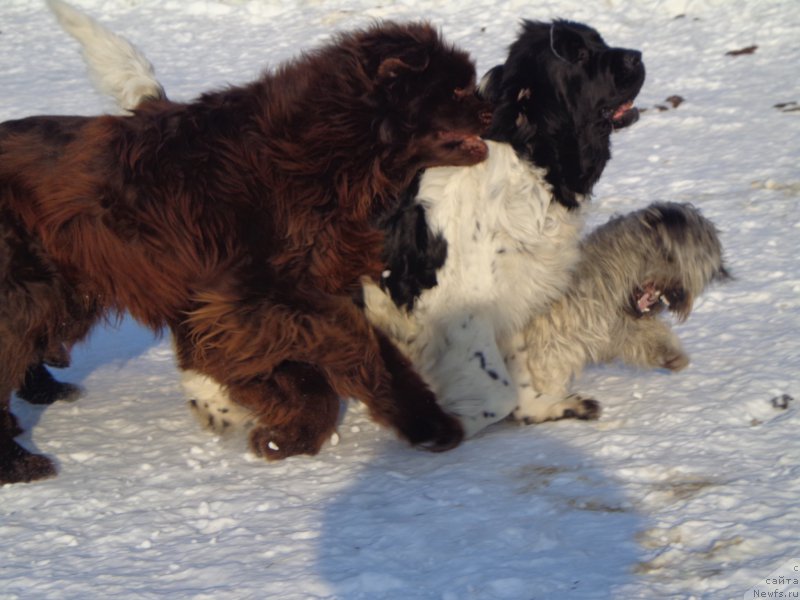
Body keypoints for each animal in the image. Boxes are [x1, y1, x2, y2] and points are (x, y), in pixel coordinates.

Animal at [0, 21, 488, 486]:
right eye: (456, 89)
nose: (489, 109)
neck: (324, 147)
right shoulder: (256, 295)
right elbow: (352, 348)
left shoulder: (260, 301)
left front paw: (292, 432)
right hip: (30, 291)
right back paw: (20, 464)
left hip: (63, 293)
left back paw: (45, 399)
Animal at [47, 2, 644, 438]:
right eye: (578, 55)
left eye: (597, 42)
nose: (637, 56)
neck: (524, 156)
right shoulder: (457, 304)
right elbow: (492, 388)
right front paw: (455, 418)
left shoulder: (516, 289)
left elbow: (517, 367)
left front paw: (543, 407)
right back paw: (223, 407)